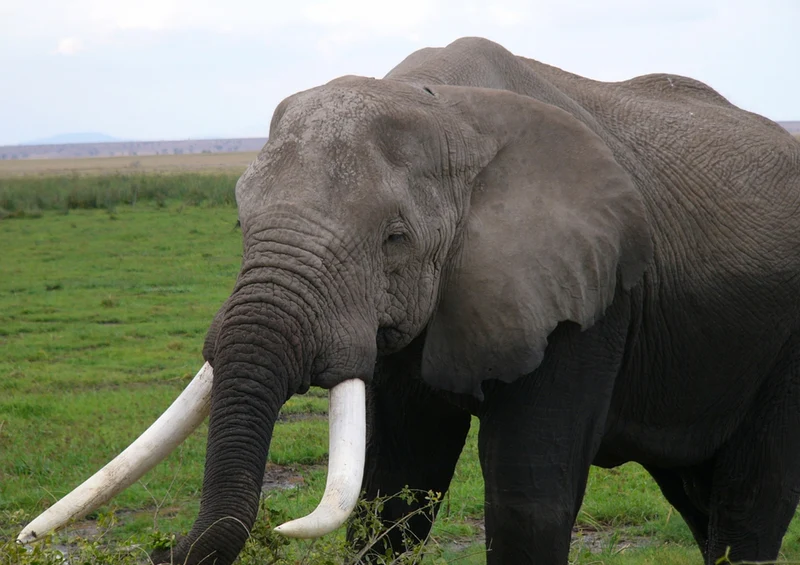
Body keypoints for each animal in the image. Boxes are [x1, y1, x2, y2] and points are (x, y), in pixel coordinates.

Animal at [18, 37, 800, 565]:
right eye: (240, 224)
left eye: (394, 237)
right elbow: (390, 495)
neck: (448, 109)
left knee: (750, 501)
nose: (158, 548)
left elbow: (527, 502)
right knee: (697, 495)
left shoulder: (590, 300)